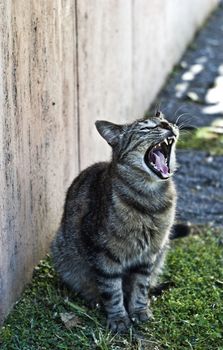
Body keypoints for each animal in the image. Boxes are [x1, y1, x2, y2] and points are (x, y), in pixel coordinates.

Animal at [51, 110, 179, 332]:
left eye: (165, 121)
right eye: (147, 128)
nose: (167, 125)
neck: (151, 201)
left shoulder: (149, 256)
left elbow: (141, 286)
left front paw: (139, 311)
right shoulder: (104, 256)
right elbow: (112, 291)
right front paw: (119, 319)